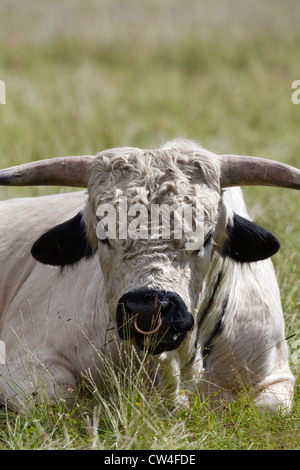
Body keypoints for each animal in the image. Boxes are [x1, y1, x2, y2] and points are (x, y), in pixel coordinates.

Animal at [0, 140, 298, 412]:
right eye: (103, 235)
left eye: (206, 237)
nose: (147, 309)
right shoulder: (26, 362)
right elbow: (55, 400)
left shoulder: (275, 375)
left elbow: (268, 408)